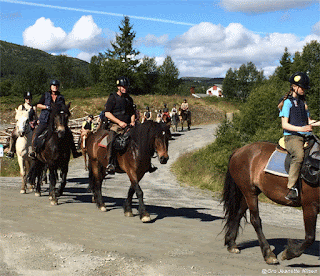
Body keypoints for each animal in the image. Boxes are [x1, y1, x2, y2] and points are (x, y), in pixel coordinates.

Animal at [222, 138, 320, 266]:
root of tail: (238, 151)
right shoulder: (310, 206)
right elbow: (310, 237)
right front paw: (289, 253)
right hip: (249, 192)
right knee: (255, 220)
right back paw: (268, 254)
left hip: (248, 192)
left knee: (238, 213)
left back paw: (231, 244)